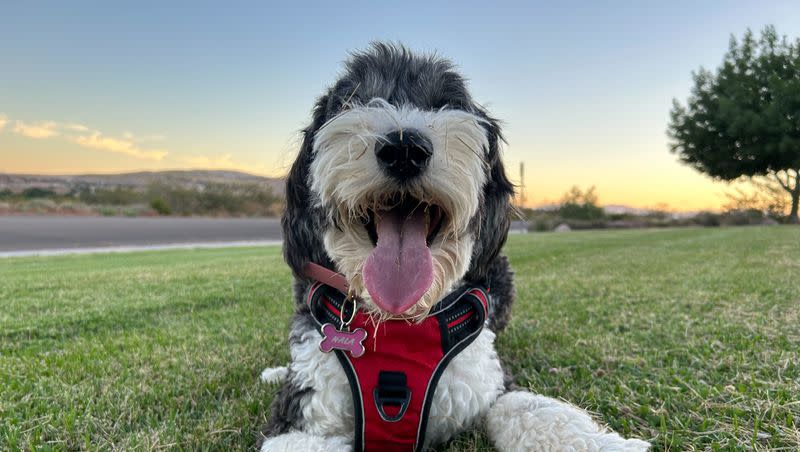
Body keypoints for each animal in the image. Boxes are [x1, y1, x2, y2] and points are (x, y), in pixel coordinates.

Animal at [260, 43, 648, 452]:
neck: (401, 318)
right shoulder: (301, 411)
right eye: (353, 101)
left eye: (445, 103)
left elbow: (524, 407)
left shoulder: (486, 378)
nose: (404, 149)